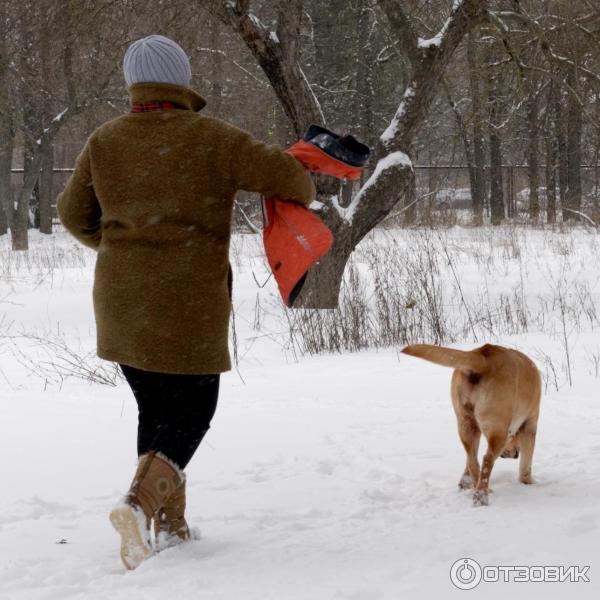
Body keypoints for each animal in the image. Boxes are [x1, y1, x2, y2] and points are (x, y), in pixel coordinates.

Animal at [400, 342, 540, 506]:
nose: (512, 455)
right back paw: (481, 495)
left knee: (473, 460)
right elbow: (526, 463)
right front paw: (529, 482)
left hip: (466, 424)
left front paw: (464, 482)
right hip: (497, 430)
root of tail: (483, 358)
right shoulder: (530, 423)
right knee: (486, 460)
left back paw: (477, 487)